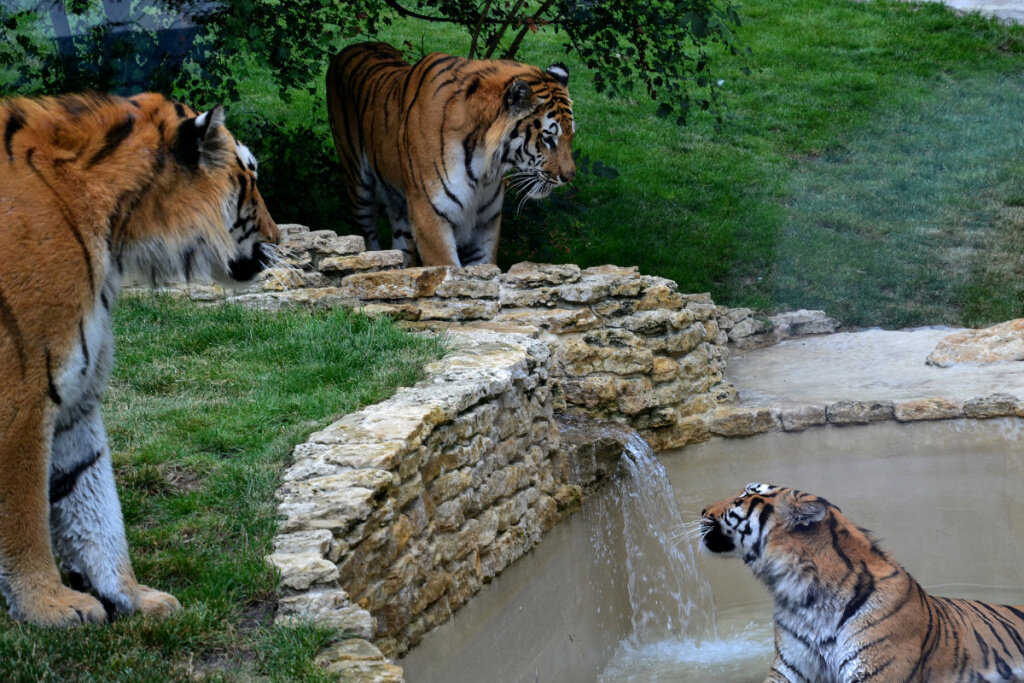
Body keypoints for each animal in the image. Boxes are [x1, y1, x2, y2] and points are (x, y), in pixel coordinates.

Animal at [0, 93, 280, 626]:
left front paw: (132, 596)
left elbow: (92, 499)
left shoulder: (76, 394)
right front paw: (49, 605)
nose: (280, 239)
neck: (116, 225)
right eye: (250, 177)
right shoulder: (21, 398)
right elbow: (24, 517)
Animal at [327, 41, 577, 268]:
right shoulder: (429, 216)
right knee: (369, 237)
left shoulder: (486, 222)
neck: (484, 168)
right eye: (548, 139)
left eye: (570, 136)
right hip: (359, 187)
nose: (570, 177)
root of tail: (351, 47)